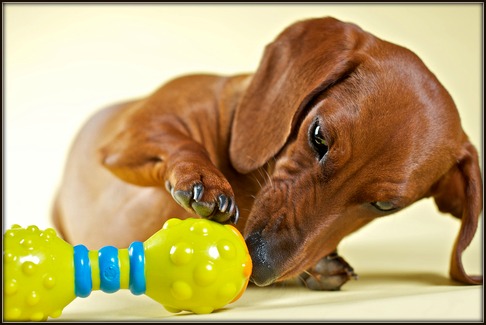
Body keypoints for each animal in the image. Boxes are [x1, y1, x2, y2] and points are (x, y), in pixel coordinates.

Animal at [54, 16, 482, 288]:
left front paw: (319, 265)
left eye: (384, 206)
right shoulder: (132, 134)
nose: (259, 266)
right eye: (318, 137)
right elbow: (181, 142)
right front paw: (203, 178)